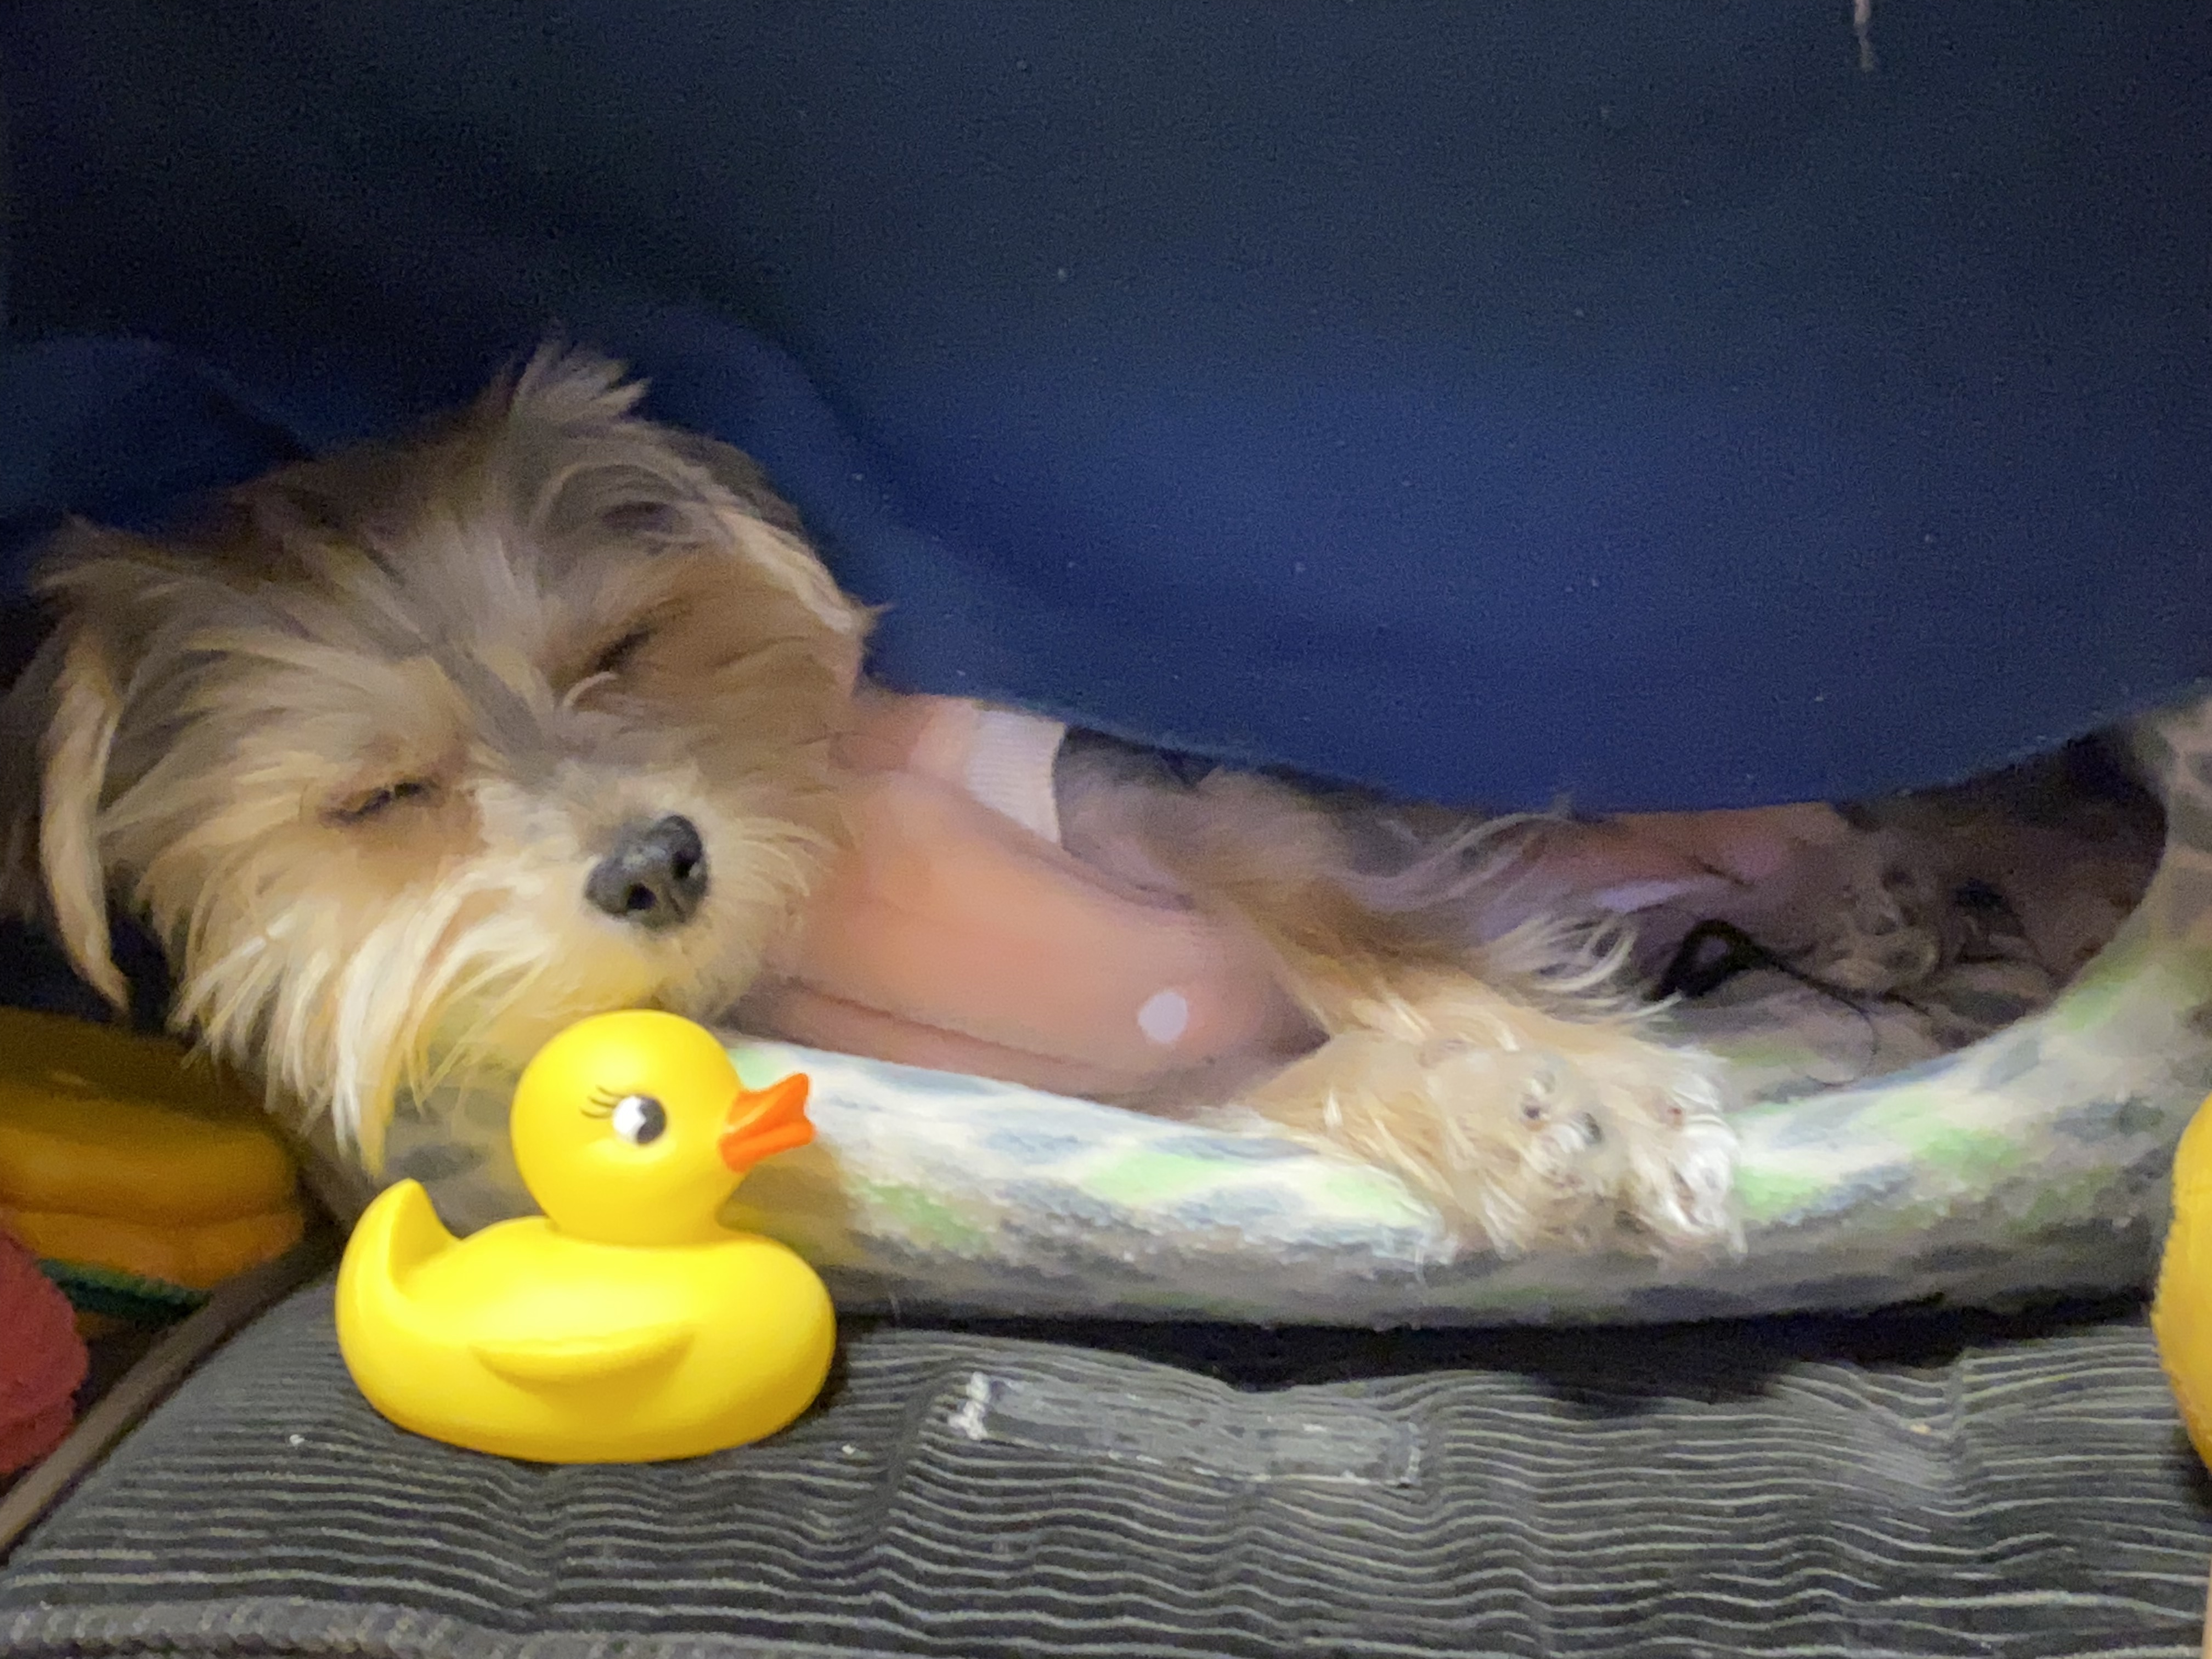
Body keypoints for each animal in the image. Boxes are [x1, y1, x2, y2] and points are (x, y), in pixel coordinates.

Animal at [1, 350, 1781, 1258]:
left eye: (623, 648)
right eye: (379, 798)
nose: (657, 862)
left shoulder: (1154, 788)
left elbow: (1347, 923)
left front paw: (1601, 1084)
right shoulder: (1121, 1081)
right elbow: (1293, 1080)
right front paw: (1503, 1114)